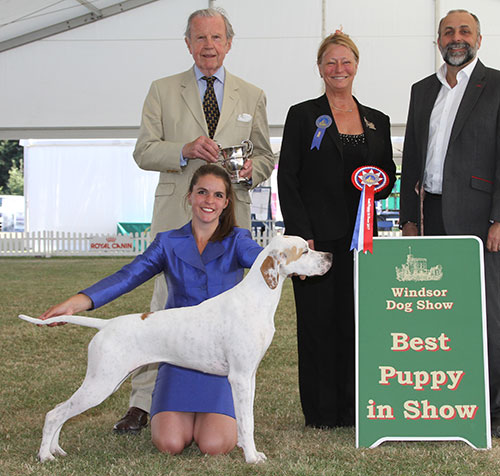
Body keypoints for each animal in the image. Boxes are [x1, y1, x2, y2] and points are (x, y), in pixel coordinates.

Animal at [19, 234, 332, 464]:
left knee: (62, 413)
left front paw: (248, 449)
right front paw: (252, 458)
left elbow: (246, 419)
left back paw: (56, 449)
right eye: (305, 251)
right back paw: (45, 455)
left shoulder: (249, 376)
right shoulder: (240, 377)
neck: (255, 299)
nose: (329, 256)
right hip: (101, 383)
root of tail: (106, 324)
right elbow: (247, 421)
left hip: (105, 381)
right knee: (55, 413)